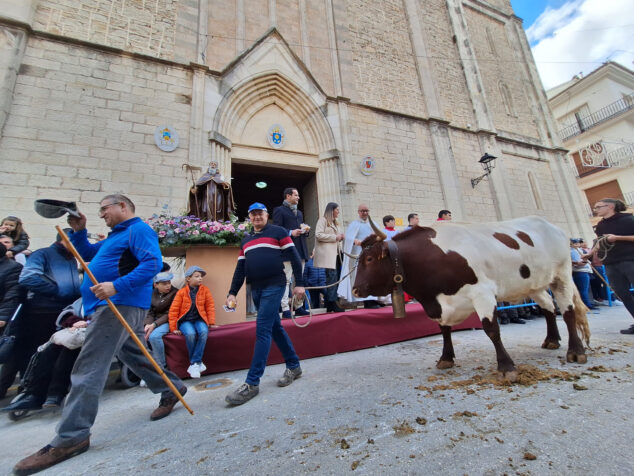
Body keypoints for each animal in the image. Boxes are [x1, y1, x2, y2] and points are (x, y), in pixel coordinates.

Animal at [350, 215, 588, 380]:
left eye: (369, 259)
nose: (355, 290)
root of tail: (550, 225)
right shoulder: (441, 303)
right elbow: (444, 329)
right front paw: (446, 358)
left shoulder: (482, 293)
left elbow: (491, 329)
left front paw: (506, 367)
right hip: (533, 284)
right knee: (549, 306)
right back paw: (551, 339)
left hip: (561, 275)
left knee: (567, 311)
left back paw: (576, 352)